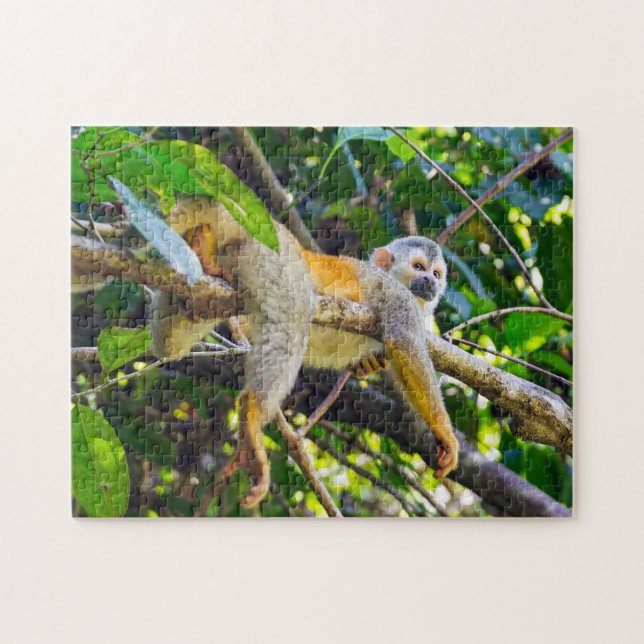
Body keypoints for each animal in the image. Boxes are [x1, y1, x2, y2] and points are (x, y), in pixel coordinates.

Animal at [149, 196, 458, 509]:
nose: (431, 282)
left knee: (171, 342)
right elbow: (404, 340)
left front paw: (369, 363)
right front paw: (446, 435)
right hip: (275, 256)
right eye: (418, 267)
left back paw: (201, 250)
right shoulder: (397, 295)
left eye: (436, 273)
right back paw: (252, 412)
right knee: (294, 314)